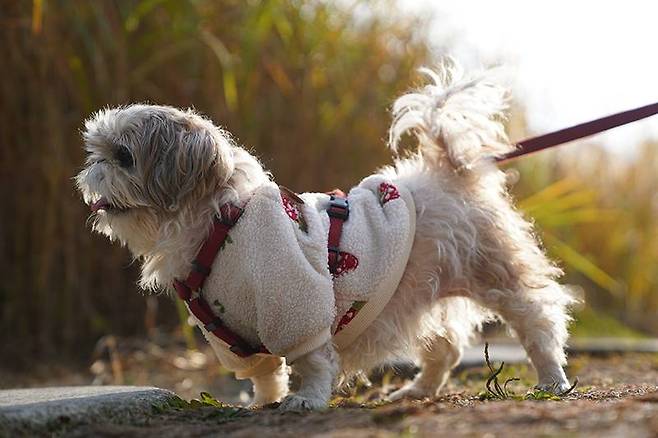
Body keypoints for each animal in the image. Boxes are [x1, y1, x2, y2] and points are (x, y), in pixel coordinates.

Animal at [75, 64, 576, 410]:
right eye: (96, 152)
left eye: (123, 156)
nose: (90, 171)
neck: (220, 227)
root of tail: (446, 168)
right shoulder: (234, 335)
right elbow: (263, 371)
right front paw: (263, 401)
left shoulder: (297, 307)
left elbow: (311, 363)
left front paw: (305, 399)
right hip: (419, 293)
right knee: (445, 349)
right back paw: (415, 391)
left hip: (497, 275)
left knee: (538, 324)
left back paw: (552, 381)